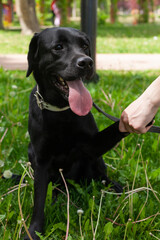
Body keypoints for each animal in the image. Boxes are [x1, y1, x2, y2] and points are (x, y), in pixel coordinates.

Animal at [25, 26, 127, 240]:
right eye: (58, 47)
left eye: (85, 46)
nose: (87, 62)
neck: (62, 111)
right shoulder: (41, 159)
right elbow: (39, 199)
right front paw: (33, 231)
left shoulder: (92, 145)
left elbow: (115, 129)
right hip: (32, 152)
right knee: (55, 187)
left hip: (97, 161)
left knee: (100, 176)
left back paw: (113, 186)